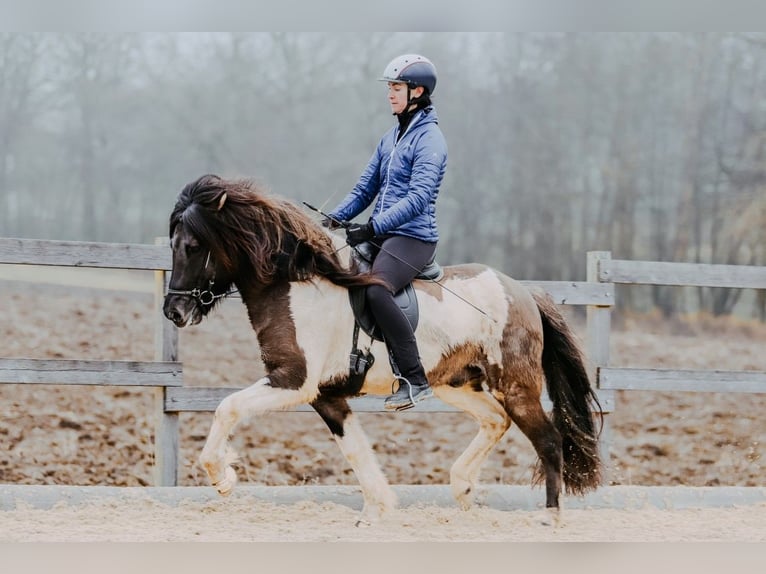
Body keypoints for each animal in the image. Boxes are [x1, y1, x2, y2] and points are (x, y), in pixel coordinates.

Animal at [163, 174, 603, 525]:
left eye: (192, 246)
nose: (174, 311)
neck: (298, 287)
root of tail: (523, 292)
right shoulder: (325, 395)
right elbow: (356, 450)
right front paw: (378, 508)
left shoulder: (293, 382)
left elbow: (227, 408)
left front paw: (223, 478)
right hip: (456, 385)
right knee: (496, 421)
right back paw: (462, 488)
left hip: (515, 387)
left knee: (548, 441)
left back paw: (550, 517)